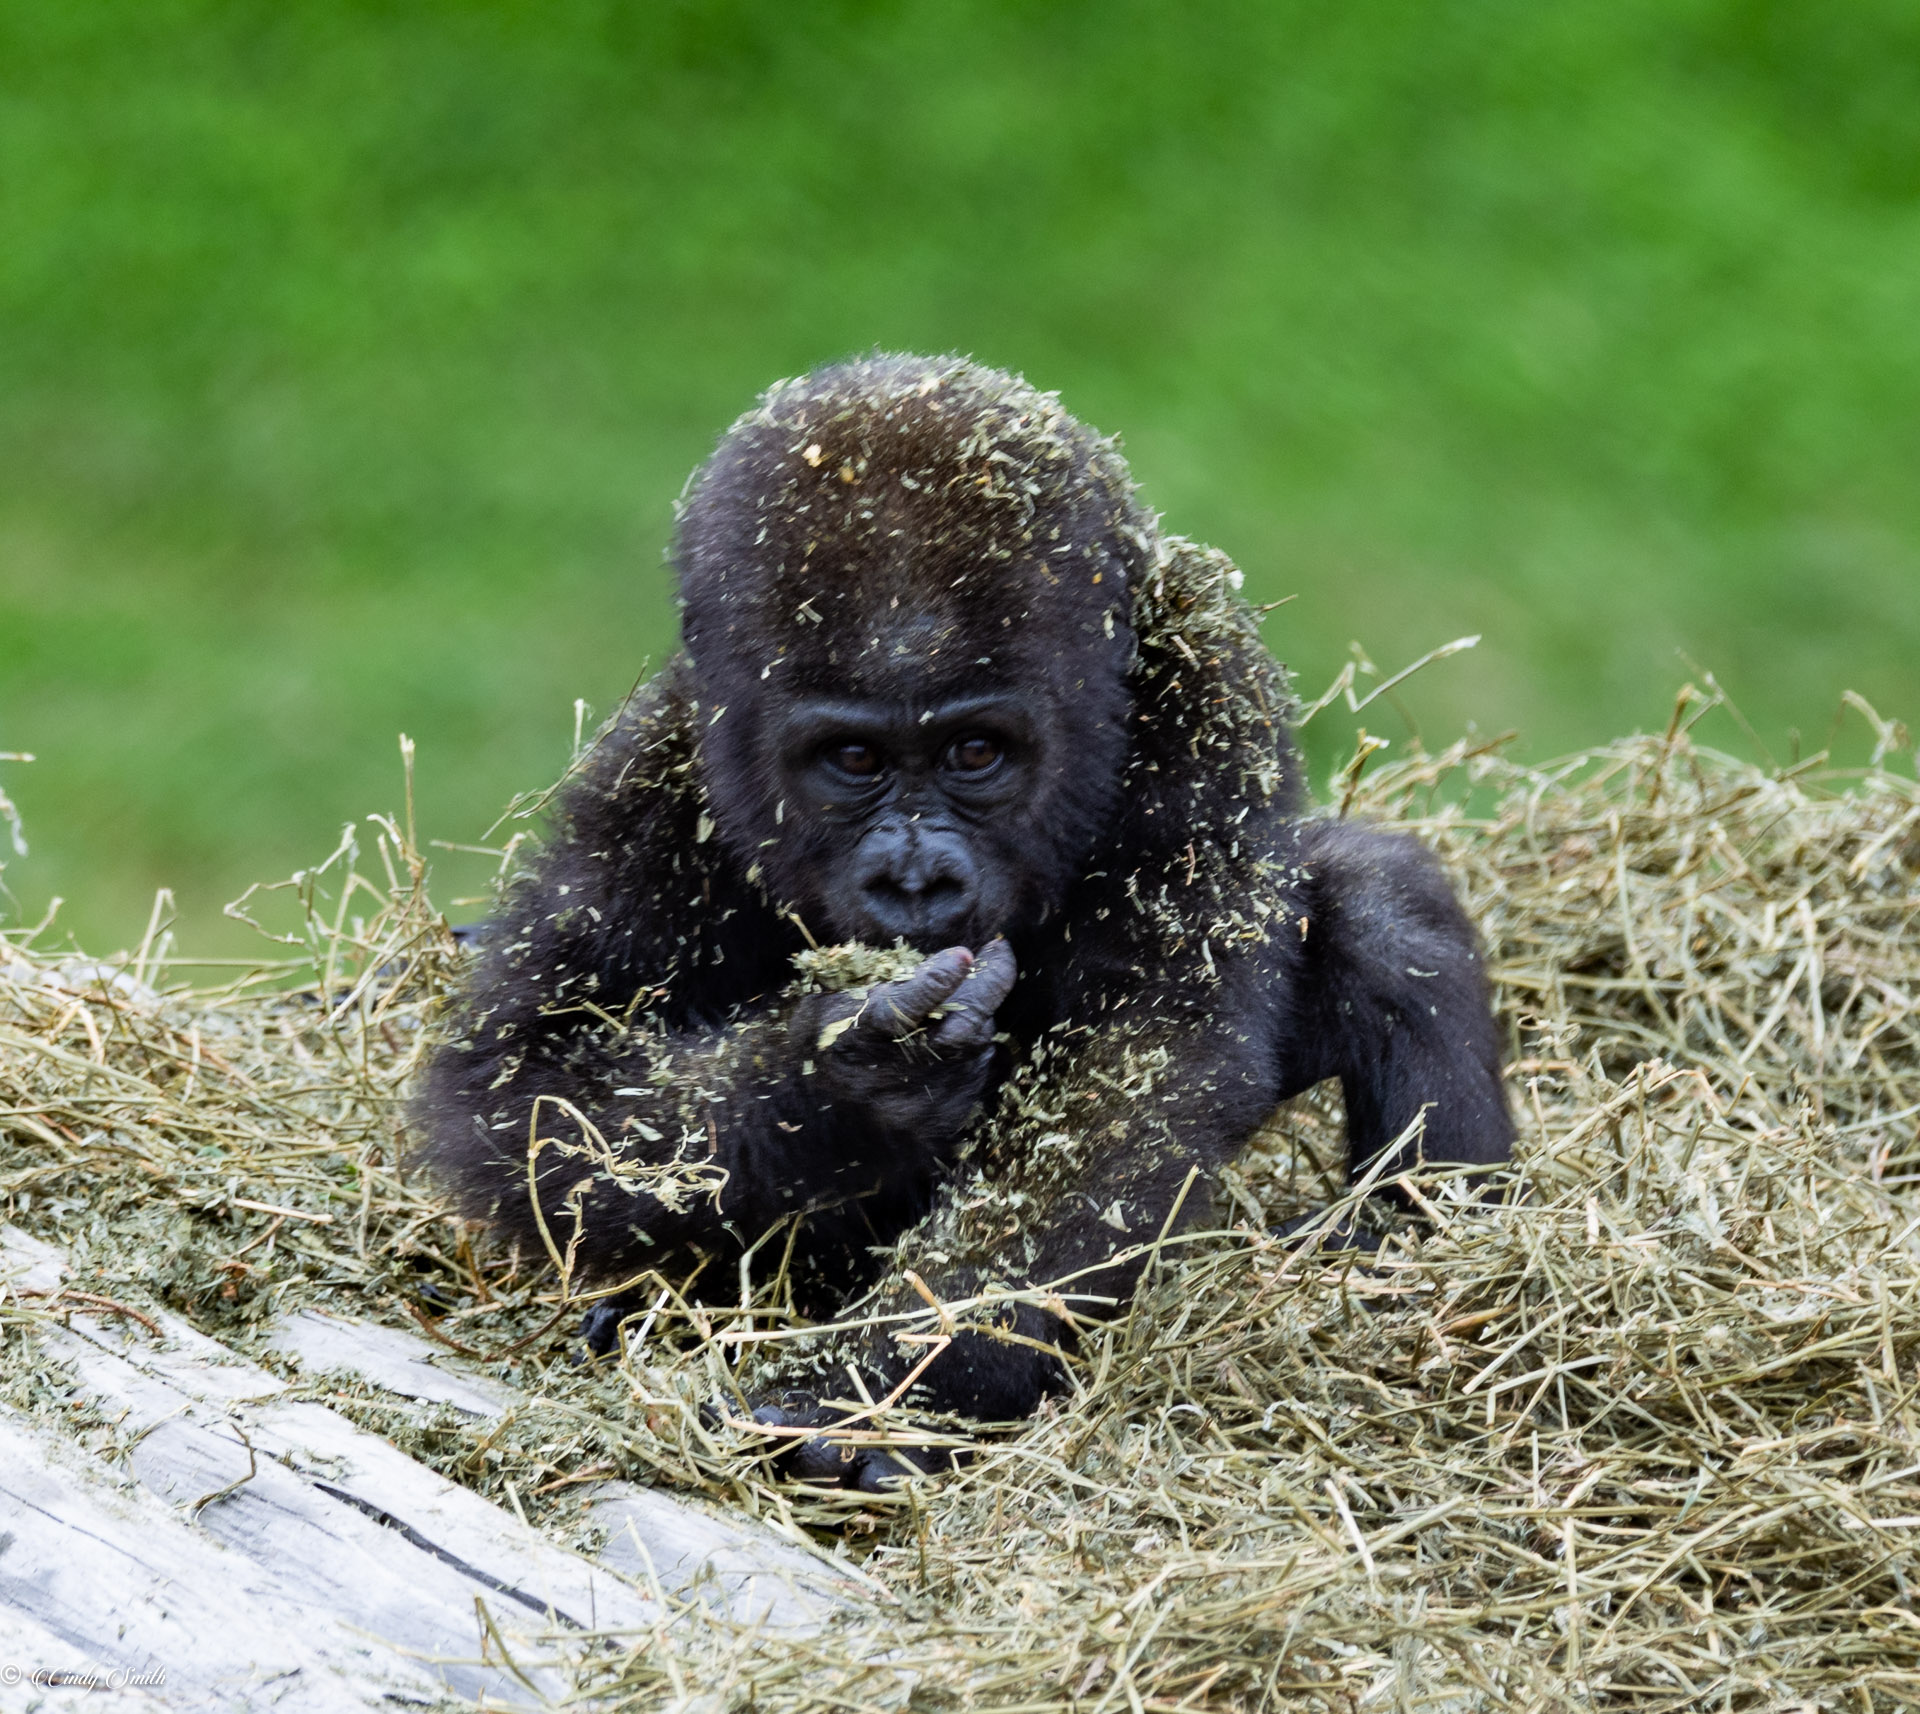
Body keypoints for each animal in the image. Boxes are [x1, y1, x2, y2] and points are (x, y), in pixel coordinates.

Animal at [418, 353, 1513, 1490]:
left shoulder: (1211, 682)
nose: (915, 880)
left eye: (976, 753)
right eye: (854, 760)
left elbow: (1134, 1071)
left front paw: (879, 1384)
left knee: (1383, 906)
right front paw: (847, 1087)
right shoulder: (661, 765)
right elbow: (529, 1080)